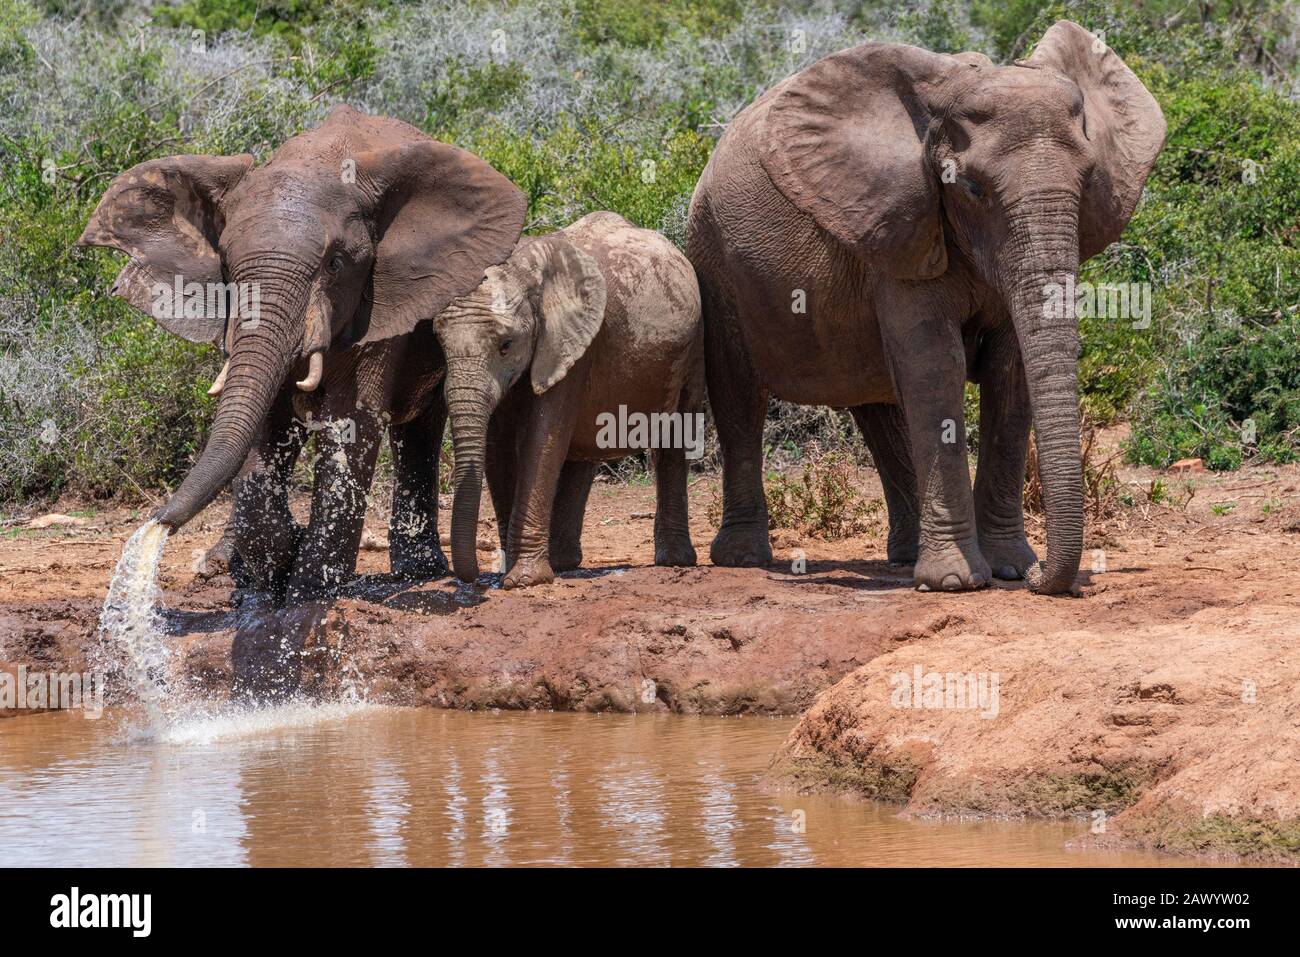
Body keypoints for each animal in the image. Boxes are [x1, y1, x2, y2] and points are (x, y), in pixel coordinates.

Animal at [78, 104, 525, 605]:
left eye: (336, 264)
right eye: (227, 266)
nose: (156, 522)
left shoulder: (381, 300)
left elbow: (350, 419)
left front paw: (310, 589)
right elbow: (262, 423)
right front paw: (276, 570)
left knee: (420, 427)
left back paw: (418, 572)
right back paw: (233, 571)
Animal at [434, 211, 702, 587]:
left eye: (506, 345)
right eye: (439, 344)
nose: (471, 578)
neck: (525, 271)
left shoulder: (570, 345)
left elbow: (544, 440)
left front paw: (523, 580)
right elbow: (497, 448)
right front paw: (513, 572)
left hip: (693, 349)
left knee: (673, 441)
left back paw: (674, 562)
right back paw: (563, 562)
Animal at [691, 20, 1170, 590]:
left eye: (1088, 179)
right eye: (970, 188)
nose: (1041, 578)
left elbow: (1010, 375)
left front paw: (1011, 568)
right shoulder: (900, 224)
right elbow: (936, 366)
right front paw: (957, 582)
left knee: (876, 408)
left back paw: (904, 557)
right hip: (715, 259)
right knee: (739, 396)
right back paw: (744, 557)